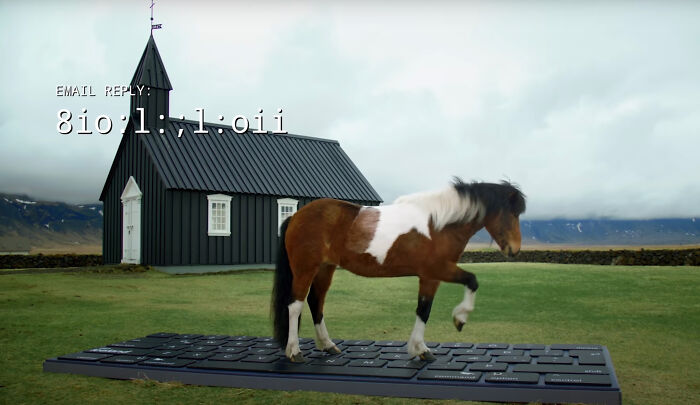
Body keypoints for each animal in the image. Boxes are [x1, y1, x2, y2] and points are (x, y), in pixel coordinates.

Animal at [271, 178, 526, 362]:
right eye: (513, 213)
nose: (515, 250)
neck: (438, 224)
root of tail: (296, 215)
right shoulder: (439, 270)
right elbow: (472, 281)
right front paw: (459, 319)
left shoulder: (429, 277)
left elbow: (423, 310)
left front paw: (420, 349)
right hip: (305, 269)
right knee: (295, 306)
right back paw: (294, 351)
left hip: (325, 269)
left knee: (316, 303)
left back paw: (328, 345)